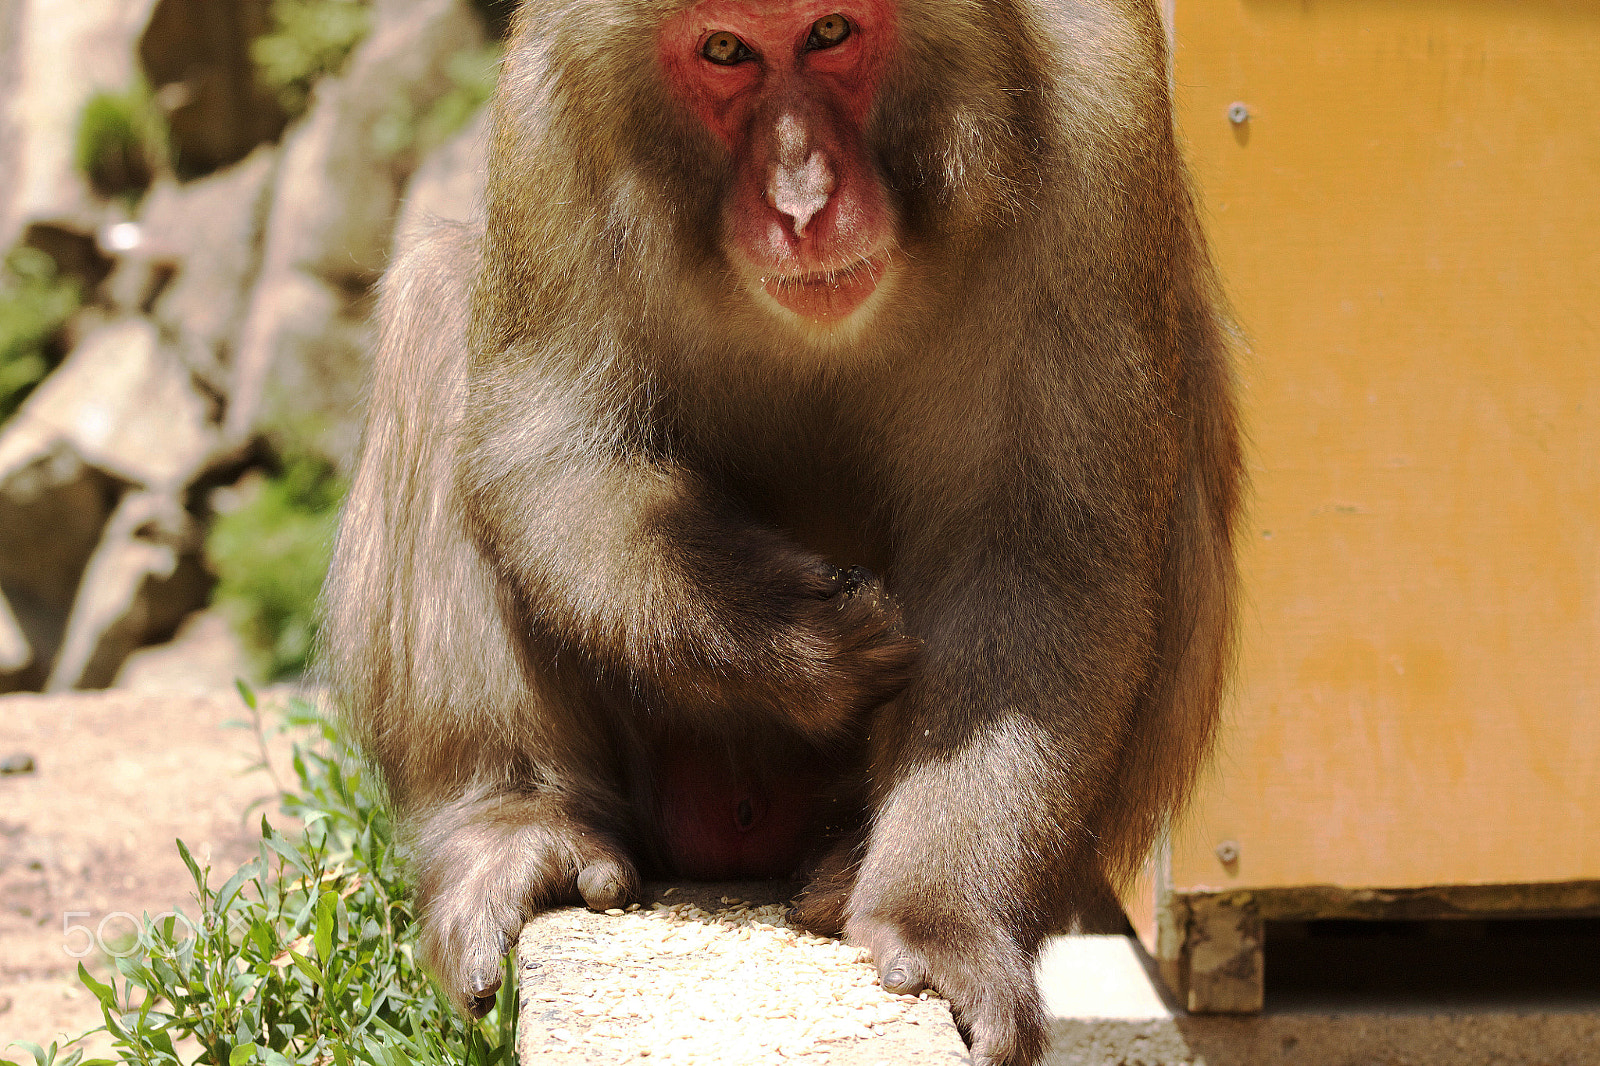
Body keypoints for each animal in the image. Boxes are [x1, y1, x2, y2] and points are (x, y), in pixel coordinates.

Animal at [321, 1, 1241, 1063]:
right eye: (726, 50)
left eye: (831, 32)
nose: (801, 203)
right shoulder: (545, 109)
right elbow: (547, 446)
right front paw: (789, 638)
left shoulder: (1106, 108)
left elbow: (1040, 543)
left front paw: (939, 915)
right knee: (438, 300)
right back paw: (515, 827)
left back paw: (847, 868)